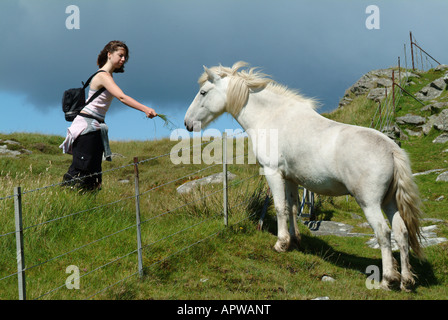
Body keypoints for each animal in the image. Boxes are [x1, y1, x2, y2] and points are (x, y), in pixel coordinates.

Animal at [184, 61, 426, 292]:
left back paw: (388, 281)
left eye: (203, 92)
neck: (272, 117)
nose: (187, 123)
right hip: (390, 202)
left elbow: (280, 207)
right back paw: (406, 282)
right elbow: (292, 208)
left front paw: (281, 244)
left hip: (370, 203)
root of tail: (392, 150)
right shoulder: (291, 178)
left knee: (384, 233)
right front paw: (295, 241)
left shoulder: (273, 172)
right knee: (402, 233)